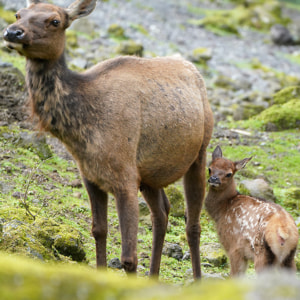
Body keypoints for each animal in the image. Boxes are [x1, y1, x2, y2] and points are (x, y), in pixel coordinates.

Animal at [2, 0, 213, 278]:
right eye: (18, 13)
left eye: (55, 21)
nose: (12, 32)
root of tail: (193, 70)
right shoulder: (91, 177)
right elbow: (98, 232)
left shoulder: (125, 176)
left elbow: (129, 258)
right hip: (150, 175)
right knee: (162, 212)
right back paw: (153, 276)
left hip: (200, 153)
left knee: (192, 224)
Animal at [205, 146, 298, 276]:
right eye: (210, 168)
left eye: (229, 174)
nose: (214, 179)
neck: (222, 210)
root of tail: (284, 231)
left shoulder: (234, 246)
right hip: (289, 257)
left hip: (261, 253)